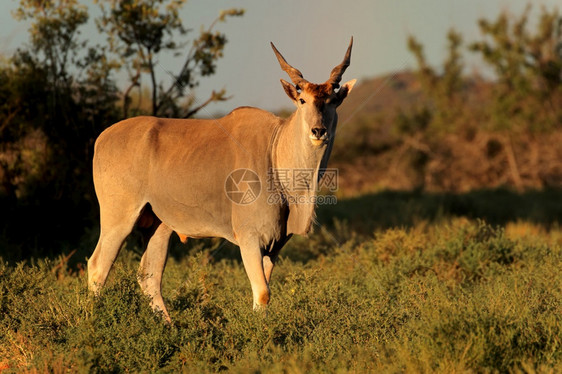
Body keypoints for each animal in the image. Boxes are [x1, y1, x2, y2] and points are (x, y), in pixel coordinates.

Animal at [87, 39, 354, 322]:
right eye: (302, 100)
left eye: (332, 102)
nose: (318, 131)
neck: (275, 149)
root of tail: (102, 138)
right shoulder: (249, 239)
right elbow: (262, 293)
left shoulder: (274, 246)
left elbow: (265, 292)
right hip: (119, 217)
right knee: (97, 267)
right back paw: (93, 321)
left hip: (158, 224)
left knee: (148, 276)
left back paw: (168, 326)